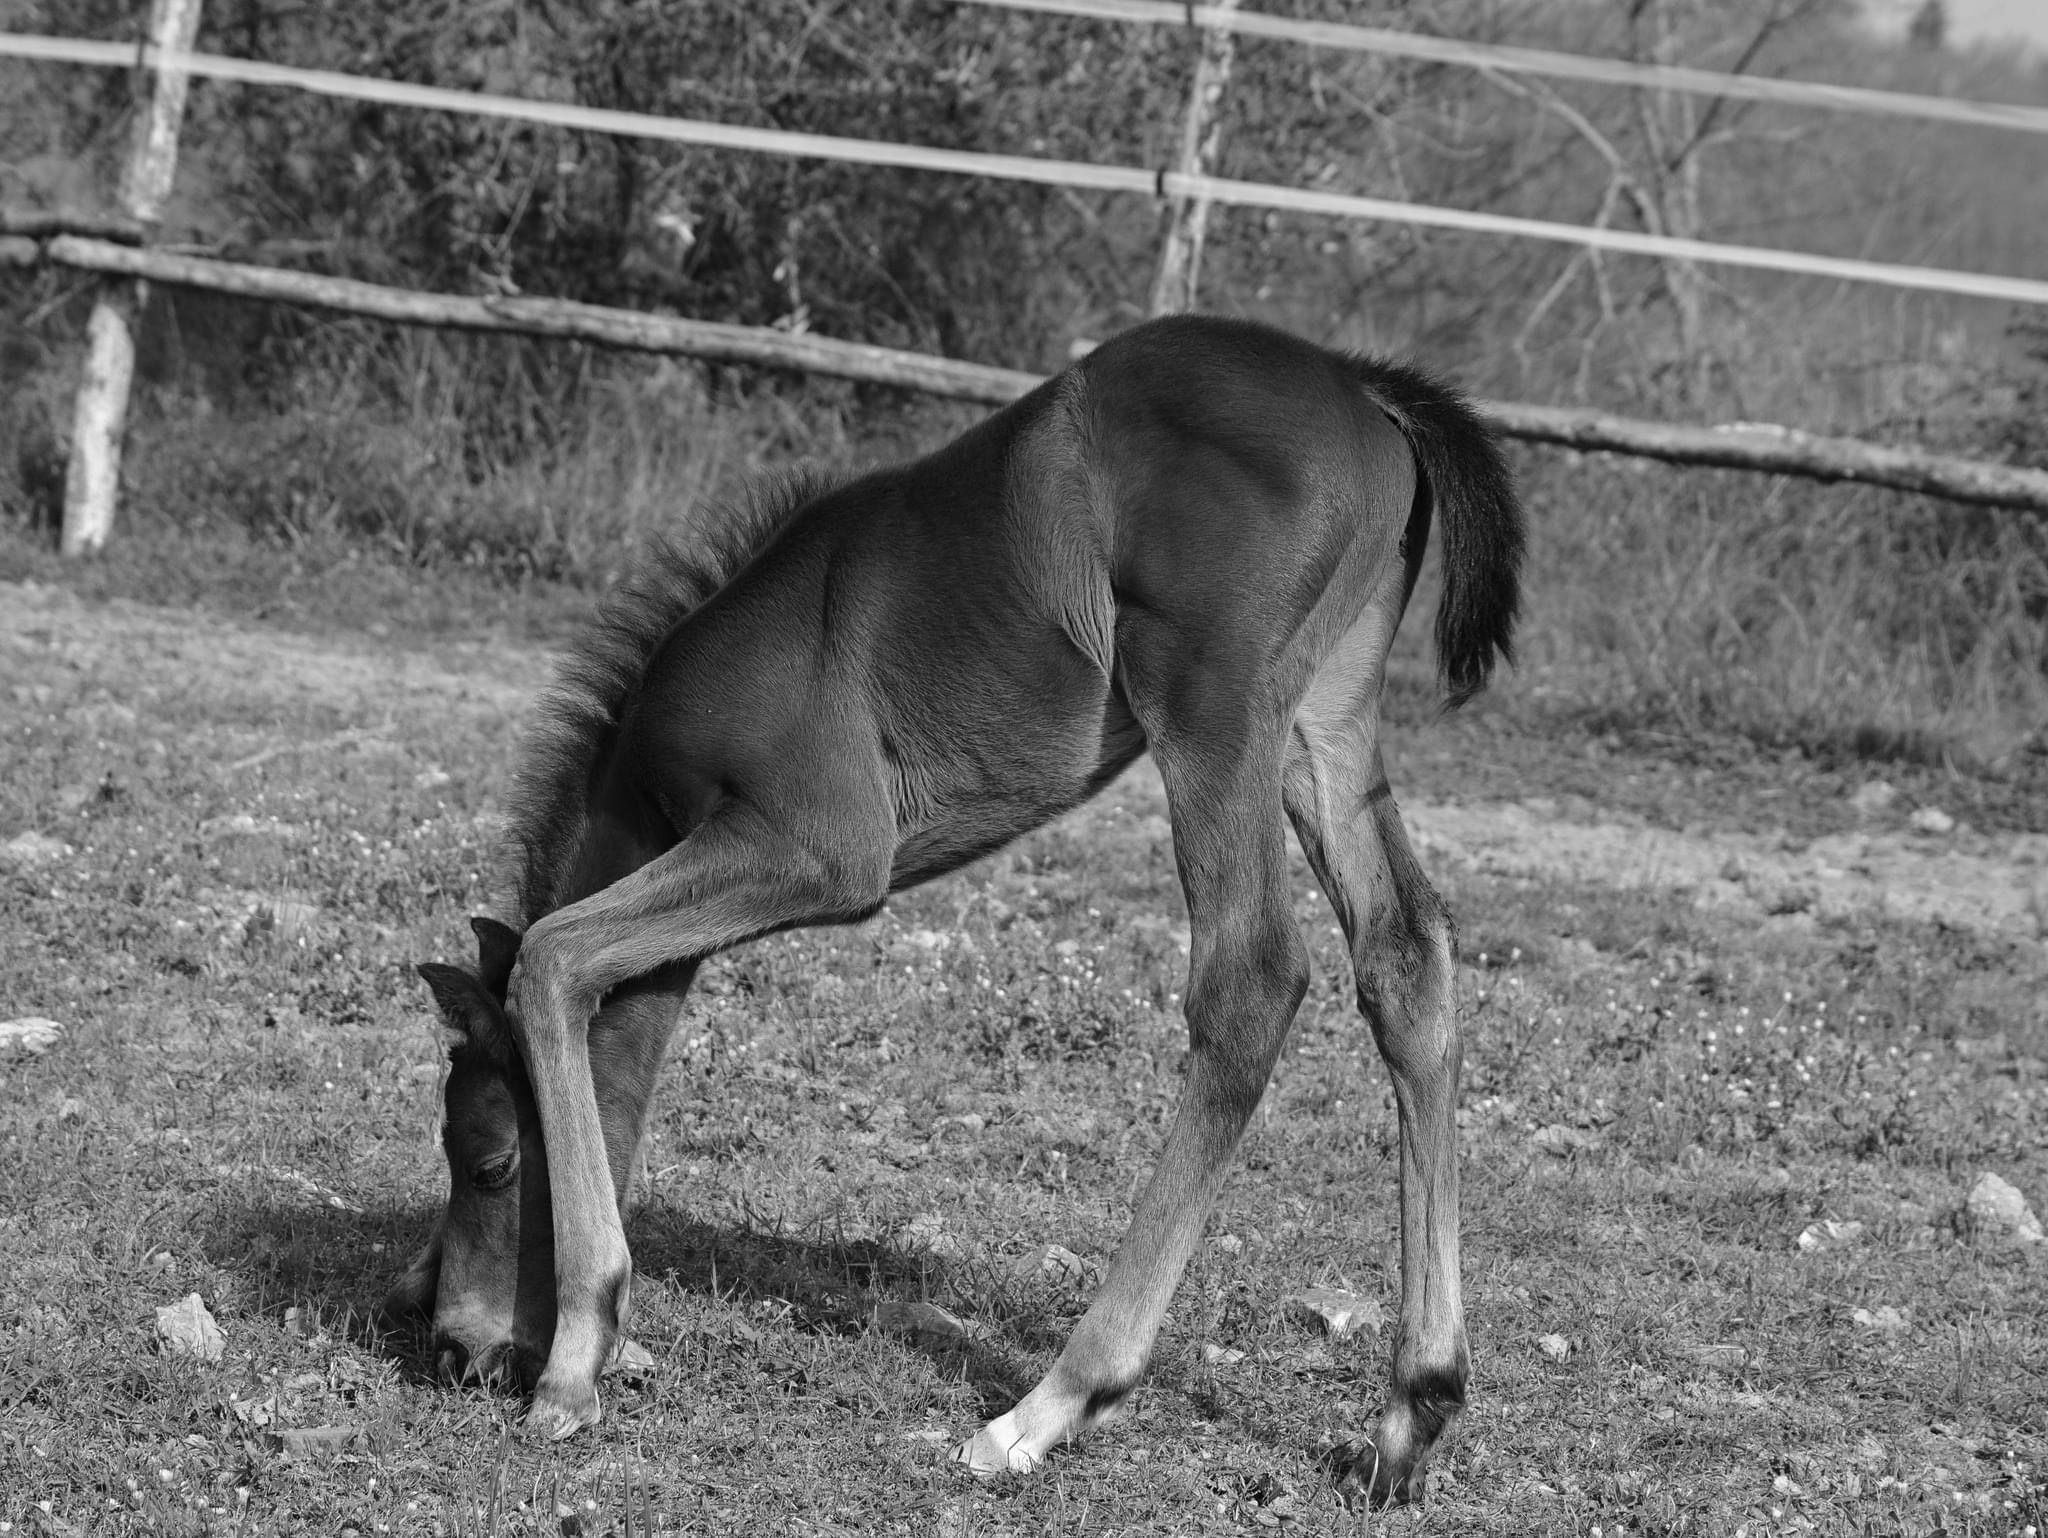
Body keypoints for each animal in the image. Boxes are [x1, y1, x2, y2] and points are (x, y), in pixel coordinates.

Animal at [389, 313, 1523, 1507]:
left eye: (491, 1160)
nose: (454, 1347)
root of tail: (1362, 384)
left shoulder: (819, 846)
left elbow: (555, 957)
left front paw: (575, 1364)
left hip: (1214, 704)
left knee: (1251, 979)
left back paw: (1050, 1404)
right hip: (1324, 719)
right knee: (1405, 958)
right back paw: (1409, 1416)